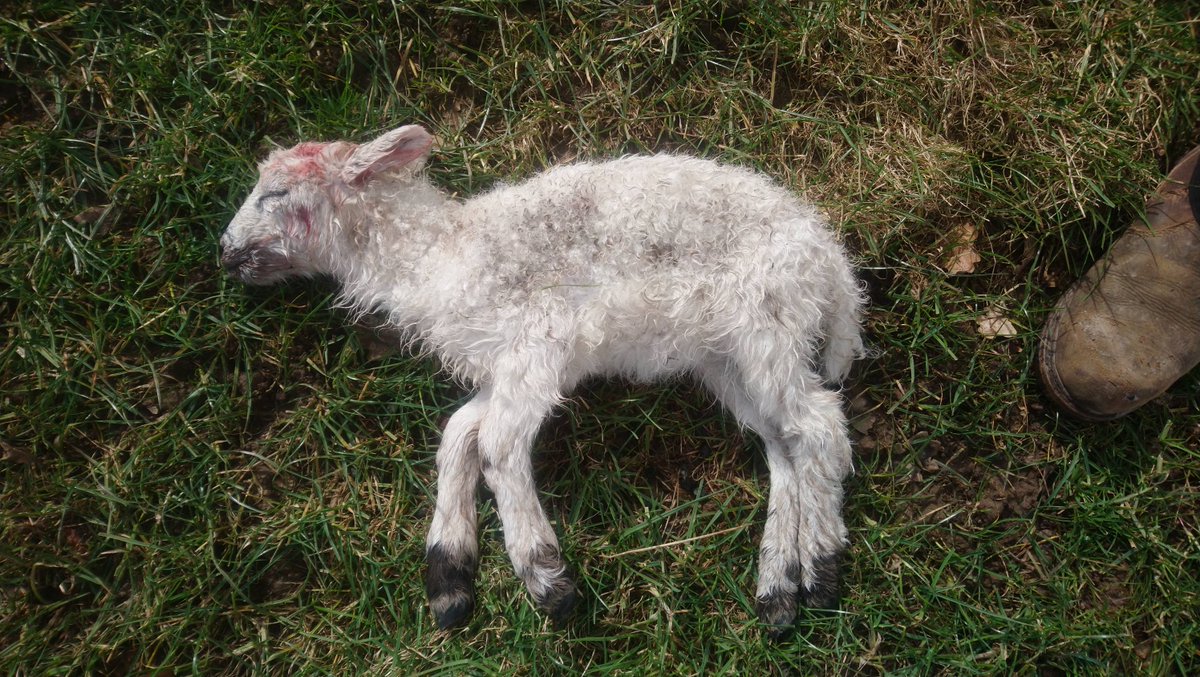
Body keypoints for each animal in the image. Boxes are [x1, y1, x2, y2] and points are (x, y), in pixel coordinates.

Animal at [219, 124, 866, 637]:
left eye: (275, 193)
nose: (225, 254)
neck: (435, 255)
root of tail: (830, 262)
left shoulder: (535, 348)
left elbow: (497, 444)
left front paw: (545, 577)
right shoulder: (499, 367)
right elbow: (458, 435)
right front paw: (449, 578)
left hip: (767, 328)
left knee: (820, 428)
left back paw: (822, 568)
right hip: (726, 360)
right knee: (785, 445)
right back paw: (780, 588)